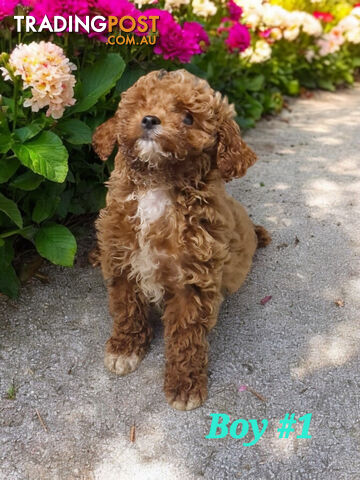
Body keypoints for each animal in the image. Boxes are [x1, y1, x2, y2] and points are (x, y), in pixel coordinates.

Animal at [93, 69, 270, 410]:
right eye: (141, 104)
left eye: (188, 117)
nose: (149, 119)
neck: (157, 185)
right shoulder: (121, 258)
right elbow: (126, 307)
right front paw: (125, 347)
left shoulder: (193, 279)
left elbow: (185, 336)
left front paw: (184, 384)